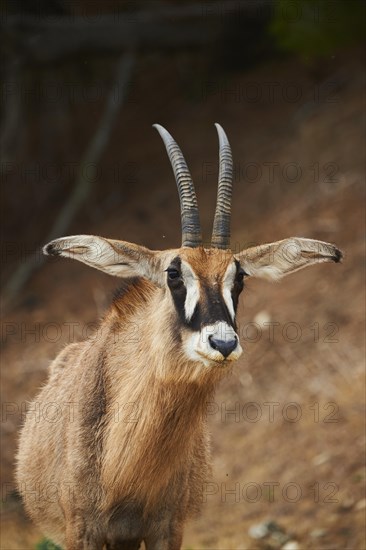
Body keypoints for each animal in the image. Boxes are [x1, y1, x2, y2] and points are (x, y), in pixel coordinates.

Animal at [16, 126, 344, 550]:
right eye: (174, 273)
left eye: (239, 277)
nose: (222, 344)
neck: (122, 473)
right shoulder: (81, 529)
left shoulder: (167, 527)